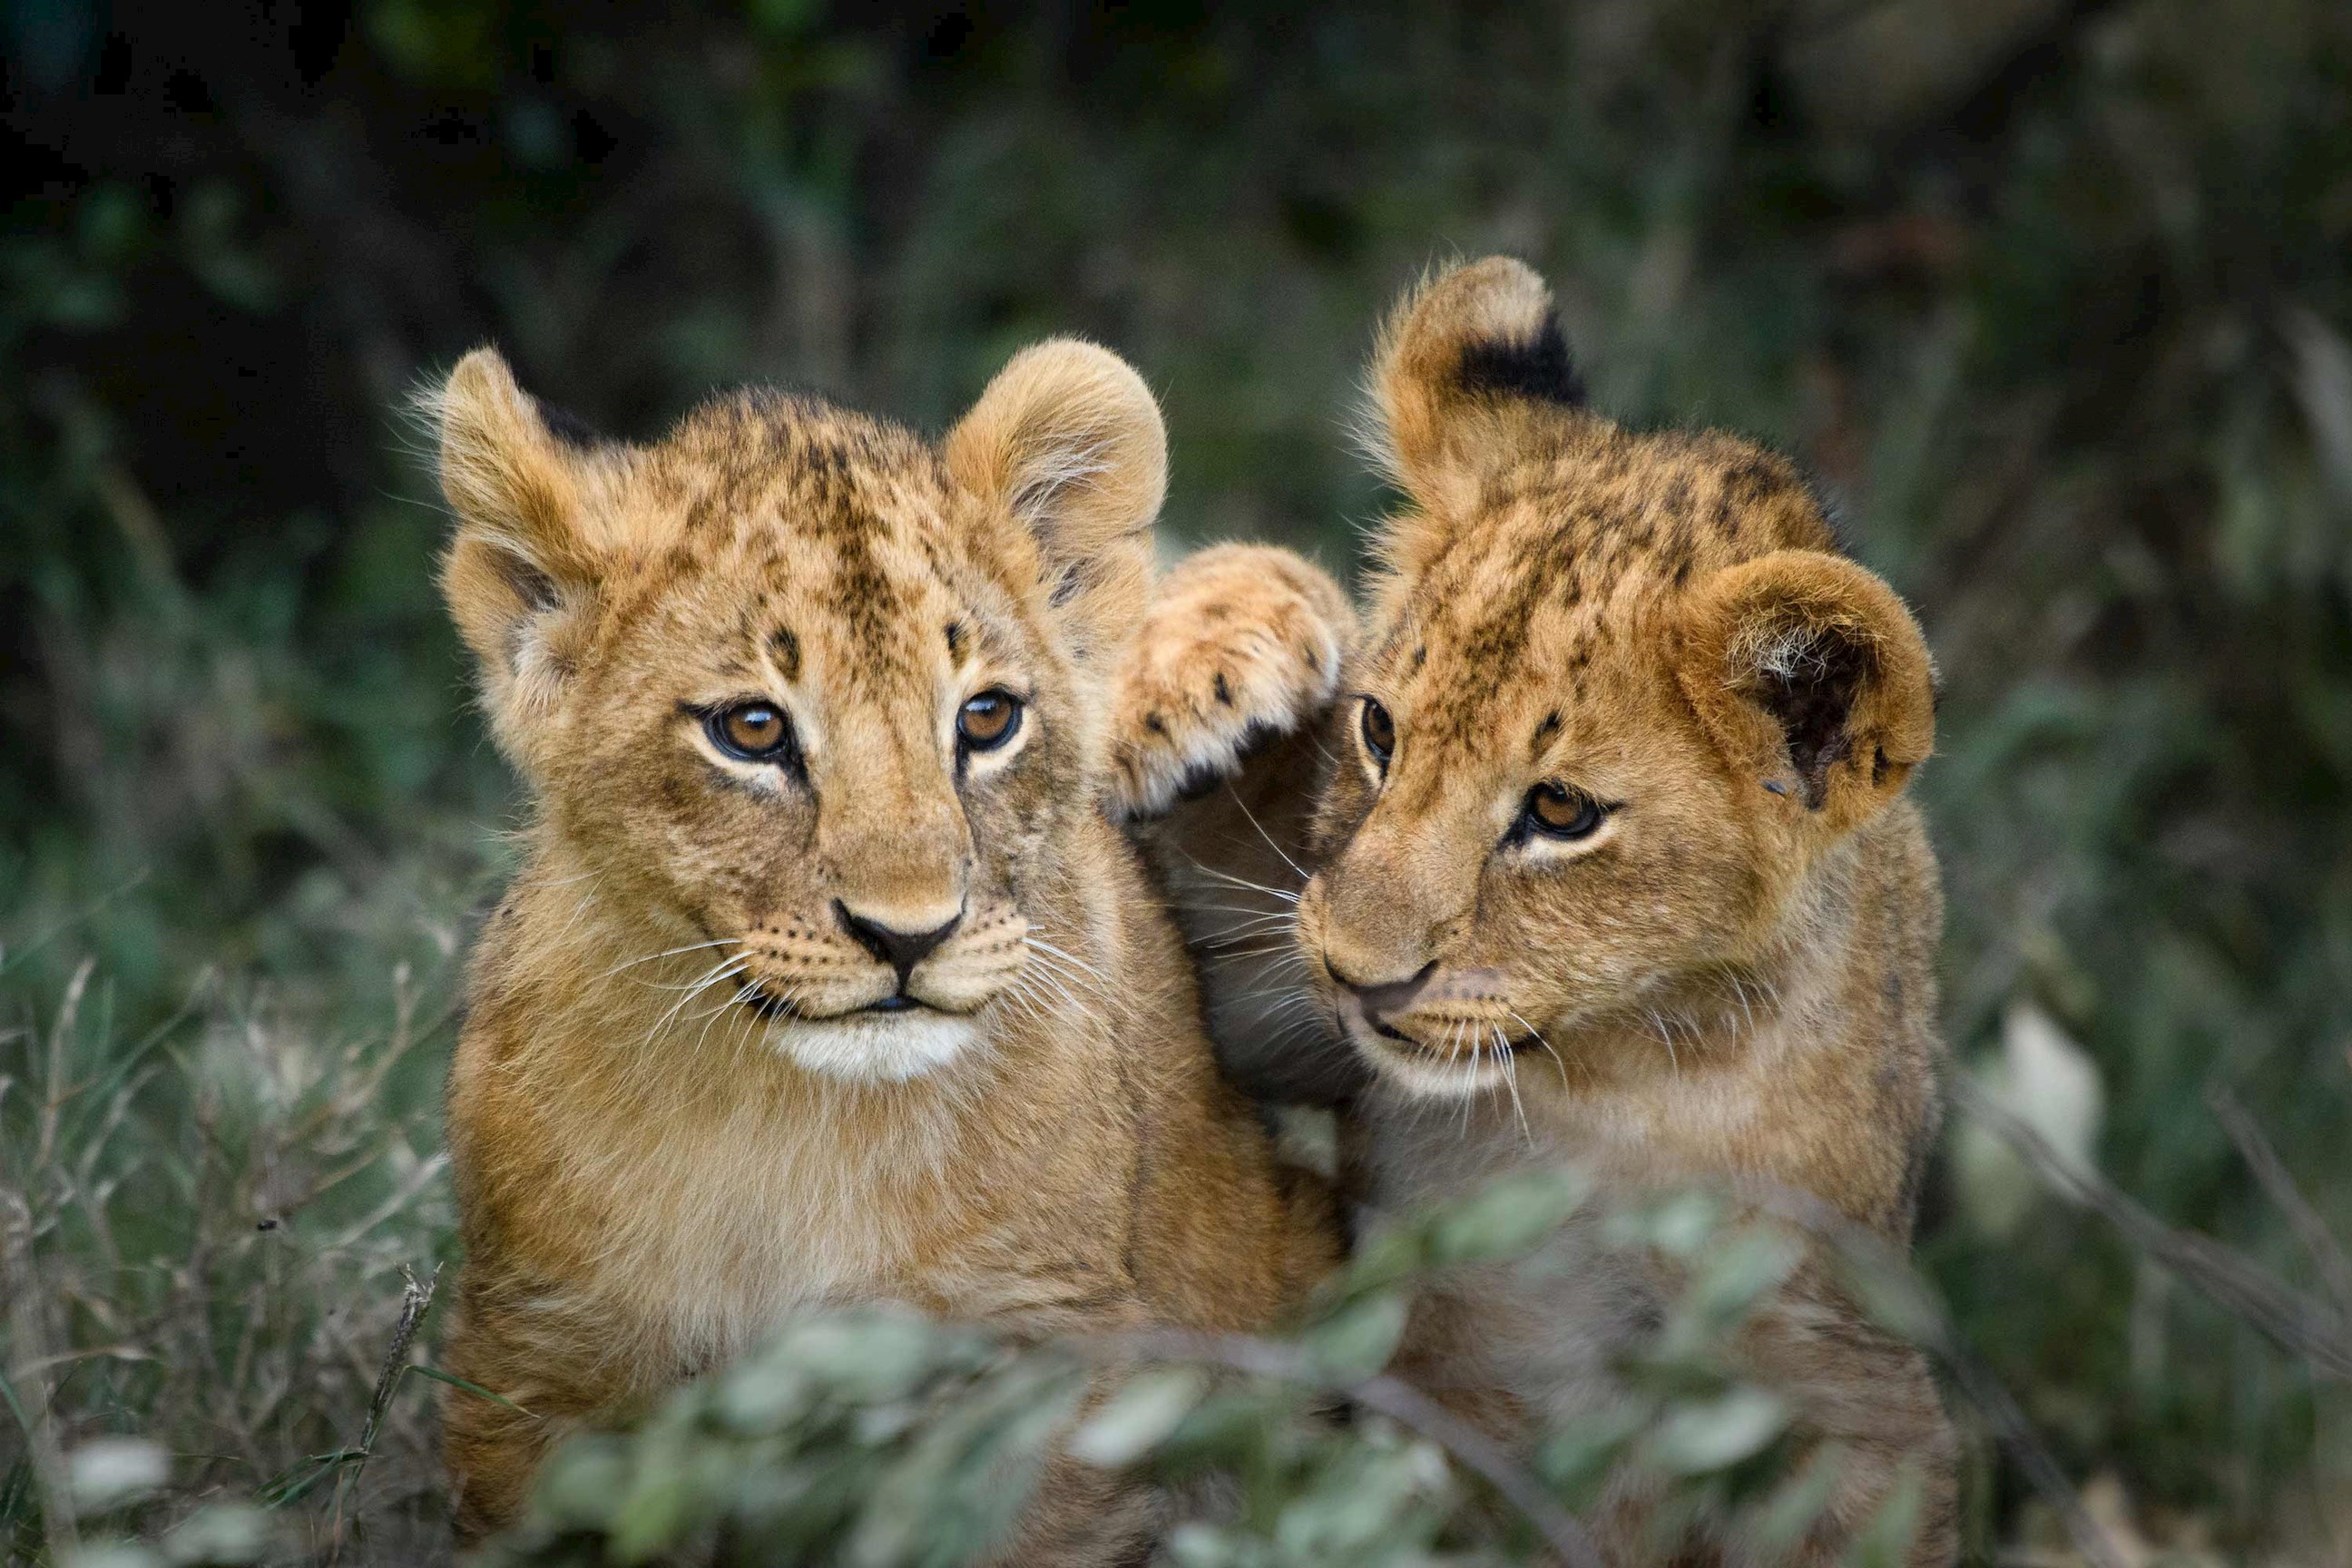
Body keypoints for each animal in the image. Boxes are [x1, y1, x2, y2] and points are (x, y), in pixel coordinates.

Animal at [427, 339, 1339, 1556]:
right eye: (751, 730)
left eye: (988, 718)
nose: (909, 933)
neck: (790, 1127)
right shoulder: (534, 1357)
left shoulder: (1041, 1356)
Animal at [1112, 257, 1957, 1564]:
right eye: (1379, 730)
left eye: (1560, 811)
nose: (1357, 976)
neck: (1617, 1075)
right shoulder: (1282, 1010)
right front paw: (1196, 657)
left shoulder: (1845, 1365)